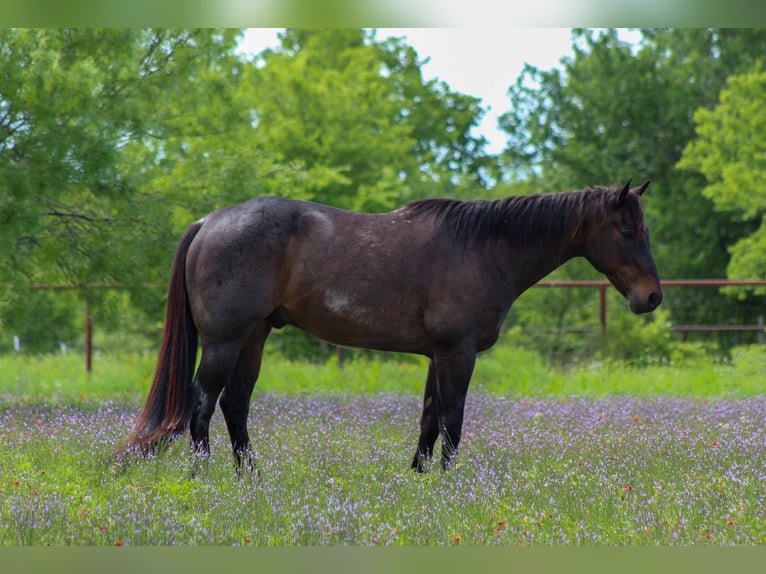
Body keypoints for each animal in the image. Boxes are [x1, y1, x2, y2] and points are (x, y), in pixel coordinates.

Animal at [121, 179, 662, 473]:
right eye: (627, 230)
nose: (651, 297)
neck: (483, 249)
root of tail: (208, 222)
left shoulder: (437, 356)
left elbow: (428, 420)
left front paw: (418, 482)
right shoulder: (457, 353)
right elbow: (452, 421)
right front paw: (449, 485)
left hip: (254, 338)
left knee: (234, 405)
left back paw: (250, 479)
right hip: (224, 341)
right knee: (202, 405)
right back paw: (205, 478)